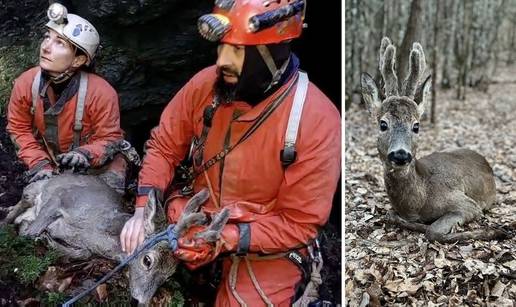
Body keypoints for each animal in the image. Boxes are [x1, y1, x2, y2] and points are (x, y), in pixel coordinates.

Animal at [1, 173, 228, 306]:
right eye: (147, 260)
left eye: (169, 276)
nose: (141, 302)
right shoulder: (64, 197)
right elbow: (31, 231)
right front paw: (34, 232)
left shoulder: (85, 246)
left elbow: (81, 252)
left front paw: (48, 240)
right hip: (33, 189)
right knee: (21, 203)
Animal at [358, 36, 504, 243]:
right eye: (383, 124)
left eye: (416, 126)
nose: (400, 155)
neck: (419, 200)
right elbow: (391, 215)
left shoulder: (467, 203)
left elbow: (432, 231)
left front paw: (497, 231)